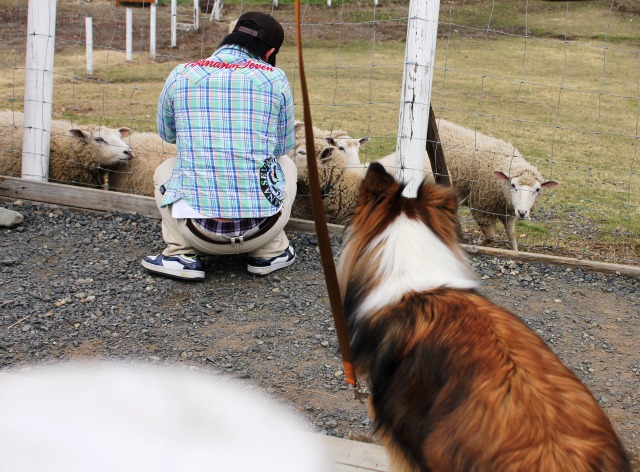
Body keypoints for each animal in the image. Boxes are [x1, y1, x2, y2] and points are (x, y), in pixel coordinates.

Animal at [370, 119, 560, 251]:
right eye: (512, 185)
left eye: (537, 189)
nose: (522, 212)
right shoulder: (481, 207)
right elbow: (491, 237)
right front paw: (478, 243)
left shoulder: (507, 212)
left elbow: (512, 236)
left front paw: (515, 251)